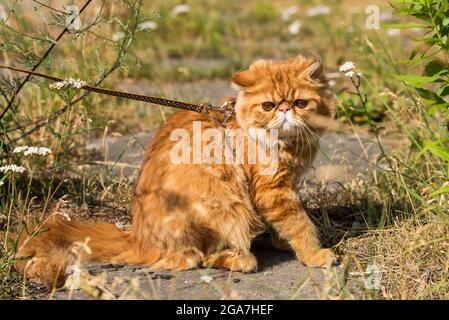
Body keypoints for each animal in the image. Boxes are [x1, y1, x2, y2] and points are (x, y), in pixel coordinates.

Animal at [14, 54, 334, 284]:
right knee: (202, 258)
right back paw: (241, 260)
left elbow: (289, 222)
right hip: (225, 205)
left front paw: (284, 244)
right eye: (268, 105)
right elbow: (299, 224)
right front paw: (314, 254)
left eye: (300, 102)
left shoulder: (286, 186)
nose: (285, 110)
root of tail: (137, 238)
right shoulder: (272, 189)